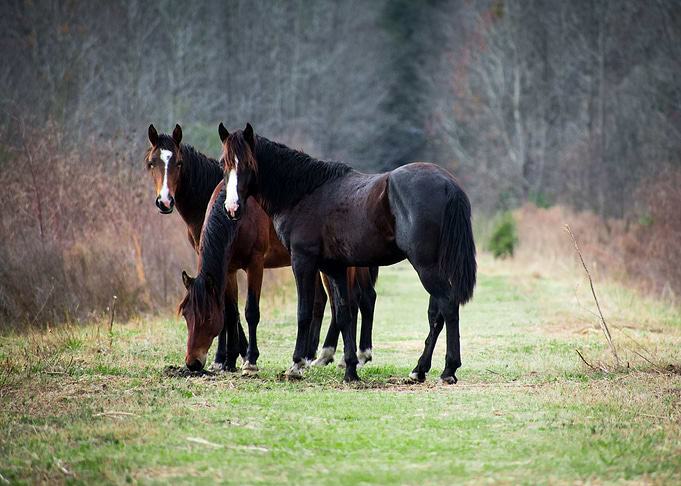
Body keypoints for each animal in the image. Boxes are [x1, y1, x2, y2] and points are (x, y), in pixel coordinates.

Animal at [145, 124, 378, 371]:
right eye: (152, 163)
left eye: (178, 163)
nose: (164, 201)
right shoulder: (227, 266)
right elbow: (230, 313)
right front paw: (227, 359)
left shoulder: (255, 264)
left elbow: (250, 311)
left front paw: (248, 358)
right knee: (330, 301)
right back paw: (317, 355)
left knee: (354, 299)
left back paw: (346, 354)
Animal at [219, 122, 476, 383]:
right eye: (223, 163)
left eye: (249, 163)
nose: (232, 208)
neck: (304, 194)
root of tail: (448, 183)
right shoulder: (335, 267)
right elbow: (344, 313)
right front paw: (351, 369)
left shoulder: (302, 261)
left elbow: (305, 312)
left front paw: (297, 364)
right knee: (436, 314)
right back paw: (419, 369)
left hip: (425, 266)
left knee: (448, 306)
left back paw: (448, 369)